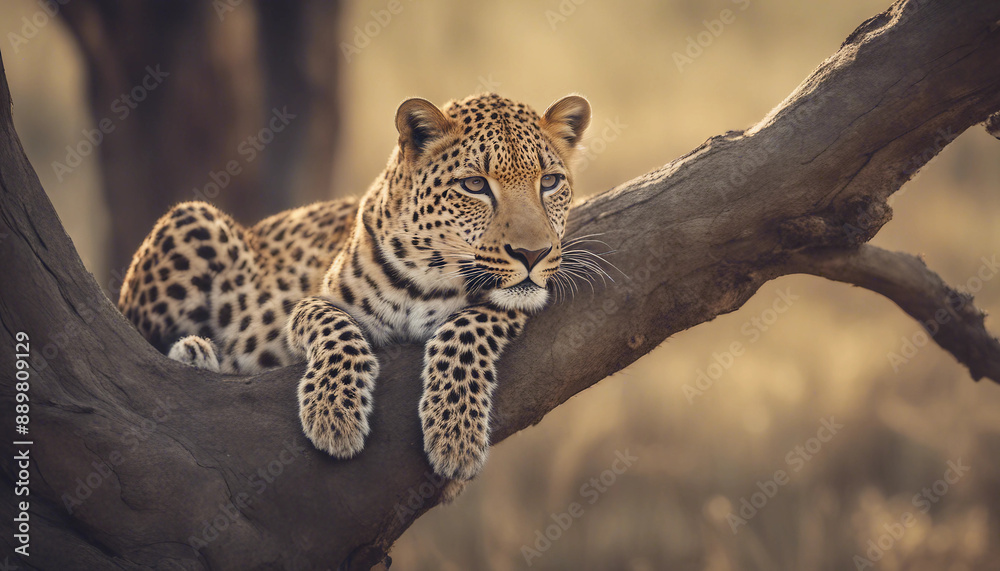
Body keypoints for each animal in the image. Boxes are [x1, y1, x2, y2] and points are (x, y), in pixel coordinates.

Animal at [118, 92, 592, 480]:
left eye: (549, 182)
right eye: (475, 185)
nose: (532, 254)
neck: (432, 276)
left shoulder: (507, 303)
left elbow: (467, 329)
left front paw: (455, 434)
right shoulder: (309, 306)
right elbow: (336, 326)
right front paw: (334, 414)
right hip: (192, 218)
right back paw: (193, 351)